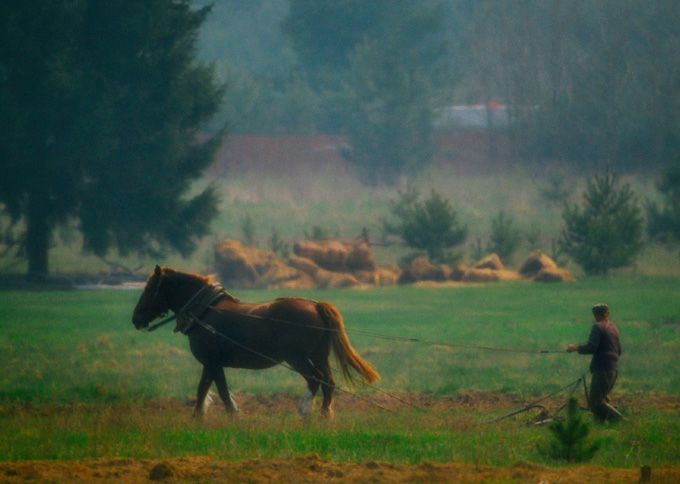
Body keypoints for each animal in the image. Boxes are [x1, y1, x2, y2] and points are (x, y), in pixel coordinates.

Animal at [132, 265, 379, 417]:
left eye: (149, 287)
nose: (135, 318)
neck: (204, 312)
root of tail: (315, 305)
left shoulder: (211, 362)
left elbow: (207, 391)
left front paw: (201, 418)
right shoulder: (215, 364)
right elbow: (217, 391)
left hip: (297, 357)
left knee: (315, 378)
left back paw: (303, 411)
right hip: (319, 354)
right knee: (328, 382)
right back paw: (325, 416)